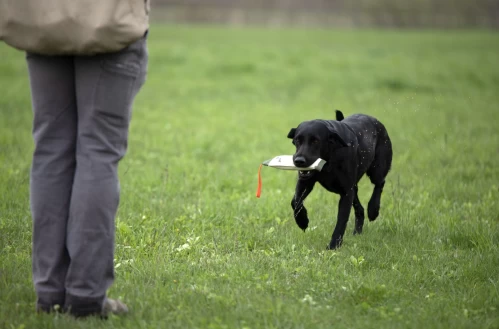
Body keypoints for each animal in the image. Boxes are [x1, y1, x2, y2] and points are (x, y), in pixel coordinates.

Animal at [290, 110, 394, 249]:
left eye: (315, 141)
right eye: (297, 140)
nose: (299, 161)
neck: (329, 159)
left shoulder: (346, 193)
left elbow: (341, 220)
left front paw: (334, 245)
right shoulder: (305, 181)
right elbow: (295, 201)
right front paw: (302, 221)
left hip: (377, 169)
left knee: (380, 183)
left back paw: (373, 210)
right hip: (354, 188)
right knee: (360, 209)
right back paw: (357, 232)